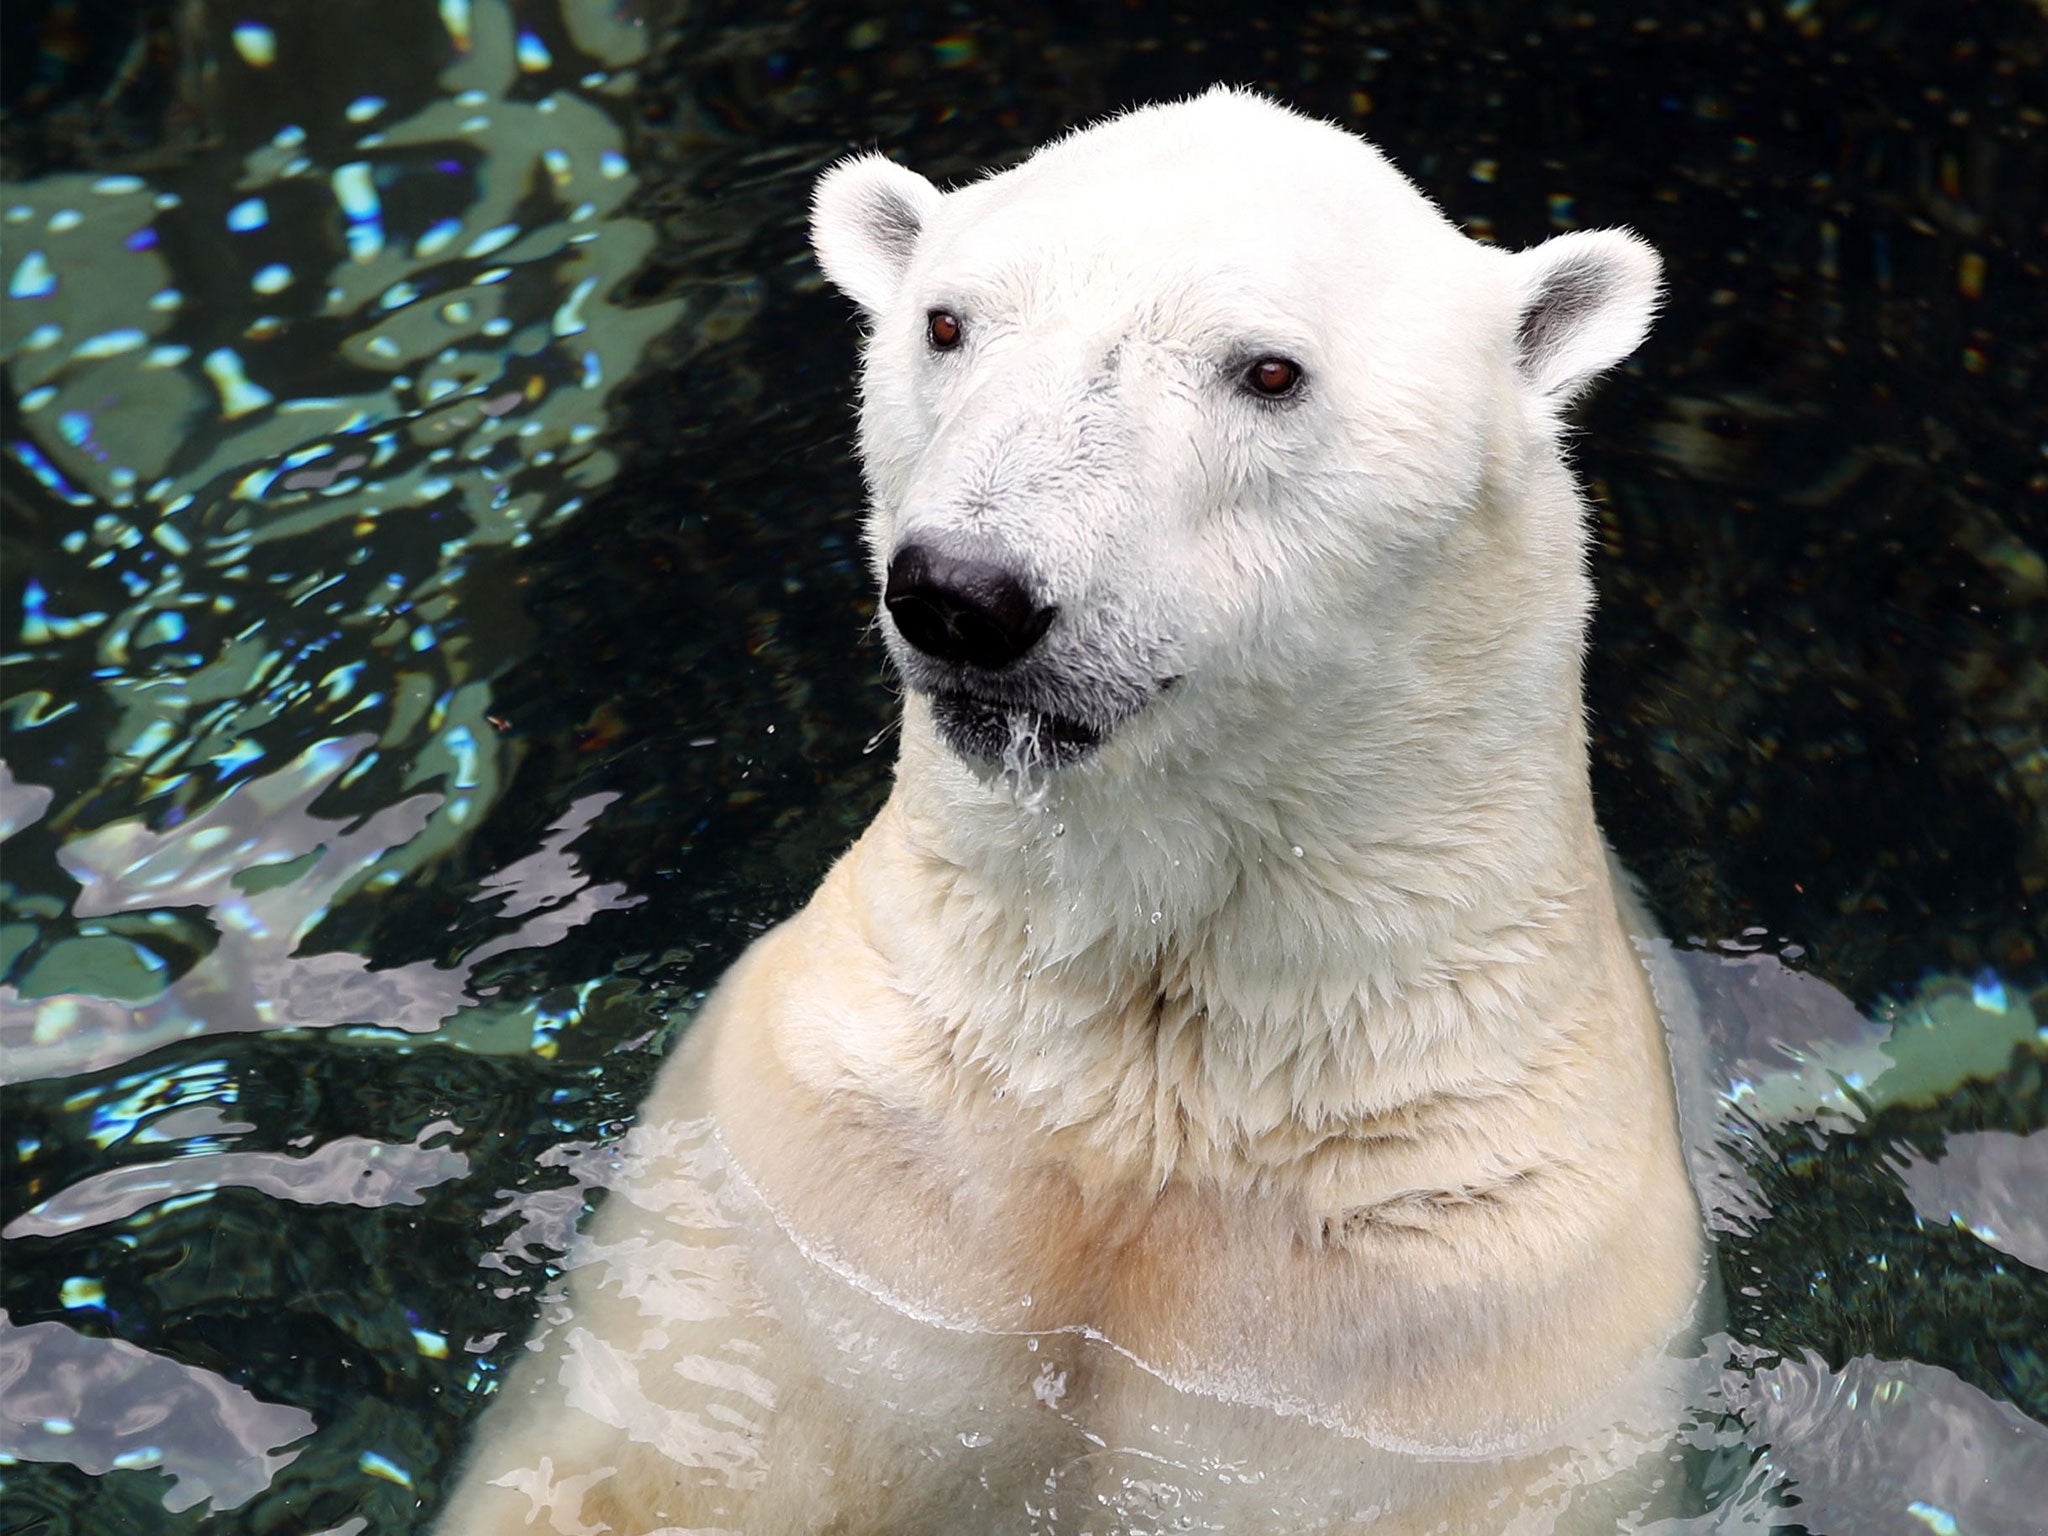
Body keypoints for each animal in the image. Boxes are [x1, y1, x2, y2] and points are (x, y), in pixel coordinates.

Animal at [440, 93, 1703, 1536]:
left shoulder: (1446, 1323)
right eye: (946, 322)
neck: (1151, 1065)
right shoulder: (831, 1190)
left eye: (1269, 371)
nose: (963, 594)